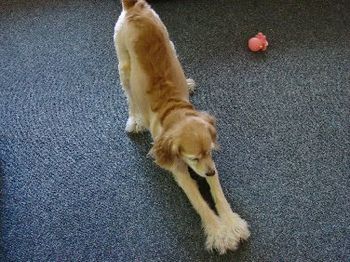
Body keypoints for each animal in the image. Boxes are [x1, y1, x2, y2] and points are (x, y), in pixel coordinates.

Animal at [113, 0, 250, 254]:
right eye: (192, 157)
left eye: (209, 152)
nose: (209, 172)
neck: (174, 111)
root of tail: (134, 6)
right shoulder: (179, 169)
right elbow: (199, 201)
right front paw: (219, 232)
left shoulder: (210, 163)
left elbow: (217, 193)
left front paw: (231, 224)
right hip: (123, 63)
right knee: (129, 95)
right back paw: (135, 119)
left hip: (169, 41)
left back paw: (186, 82)